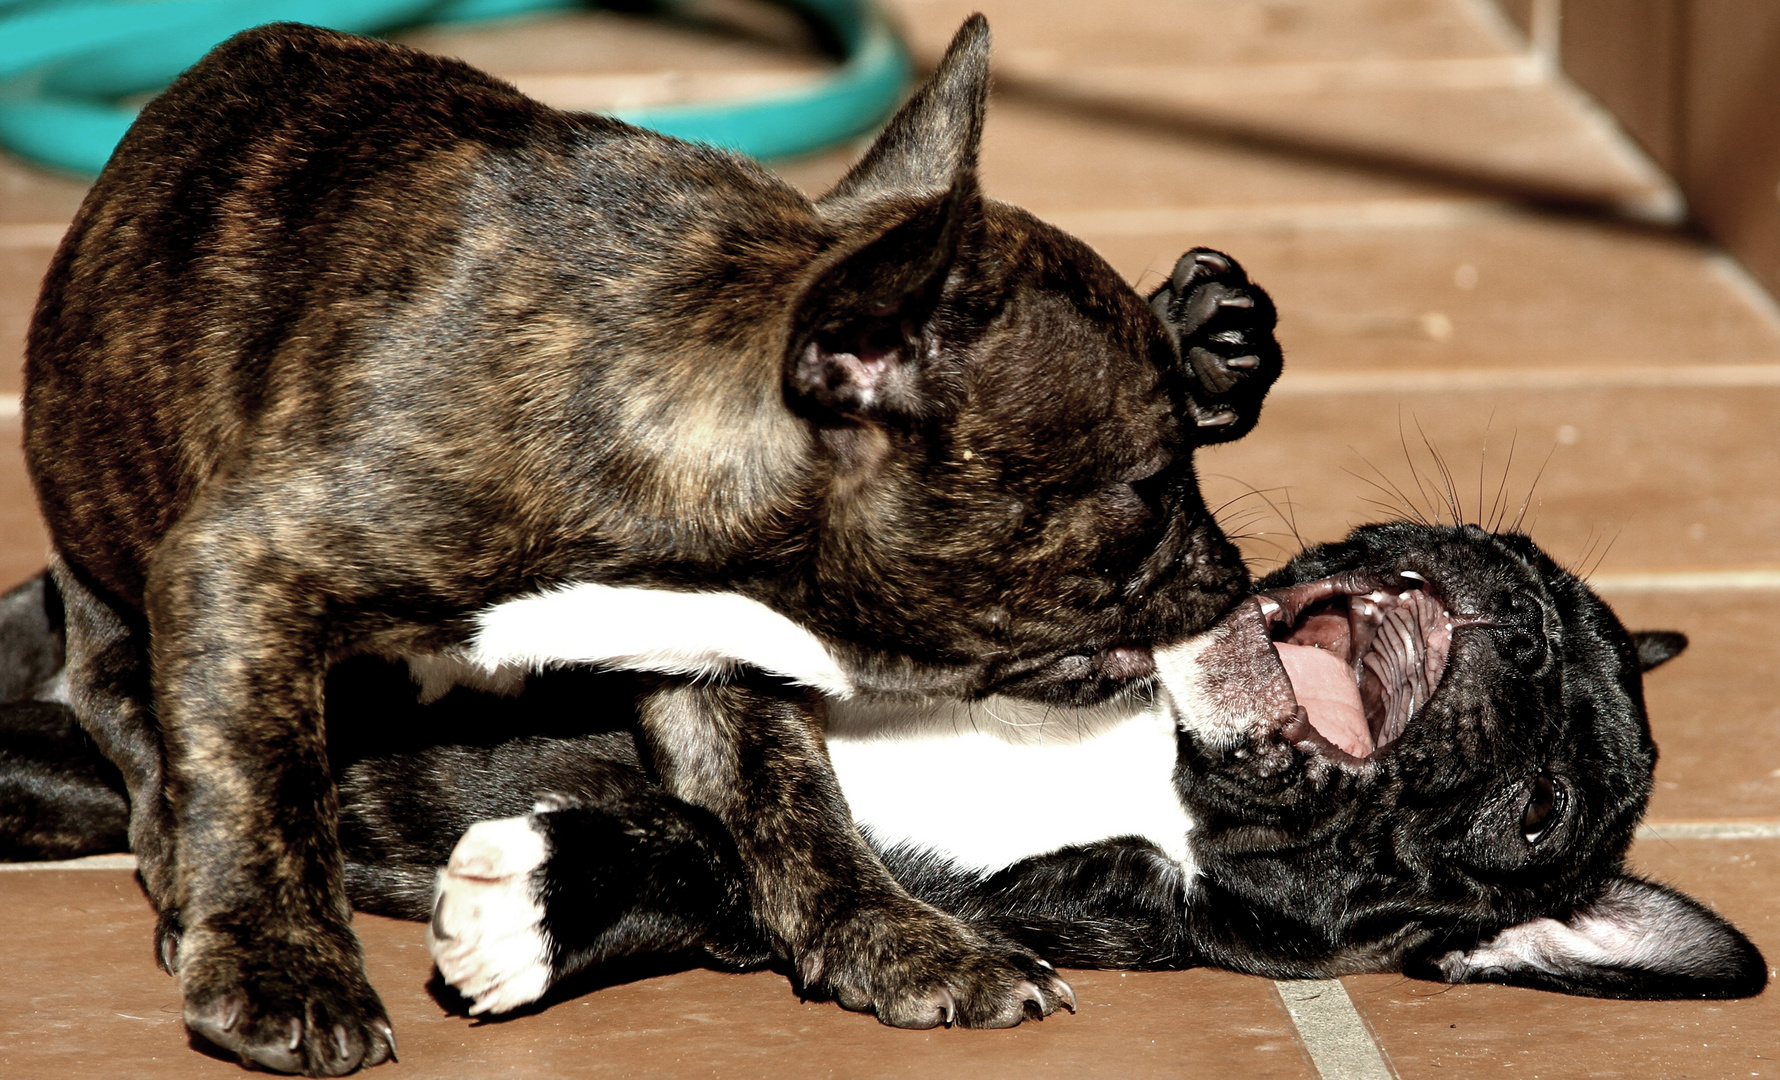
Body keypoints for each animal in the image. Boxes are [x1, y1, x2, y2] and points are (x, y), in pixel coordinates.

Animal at [6, 523, 1765, 1010]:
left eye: (1542, 813)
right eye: (1522, 558)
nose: (1517, 622)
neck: (1139, 763)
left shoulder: (1026, 911)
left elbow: (739, 869)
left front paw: (543, 905)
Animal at [24, 12, 1281, 1074]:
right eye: (1149, 486)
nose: (1230, 575)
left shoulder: (716, 664)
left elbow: (795, 809)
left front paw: (899, 941)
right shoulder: (250, 567)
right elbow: (259, 780)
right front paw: (281, 965)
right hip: (111, 587)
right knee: (139, 728)